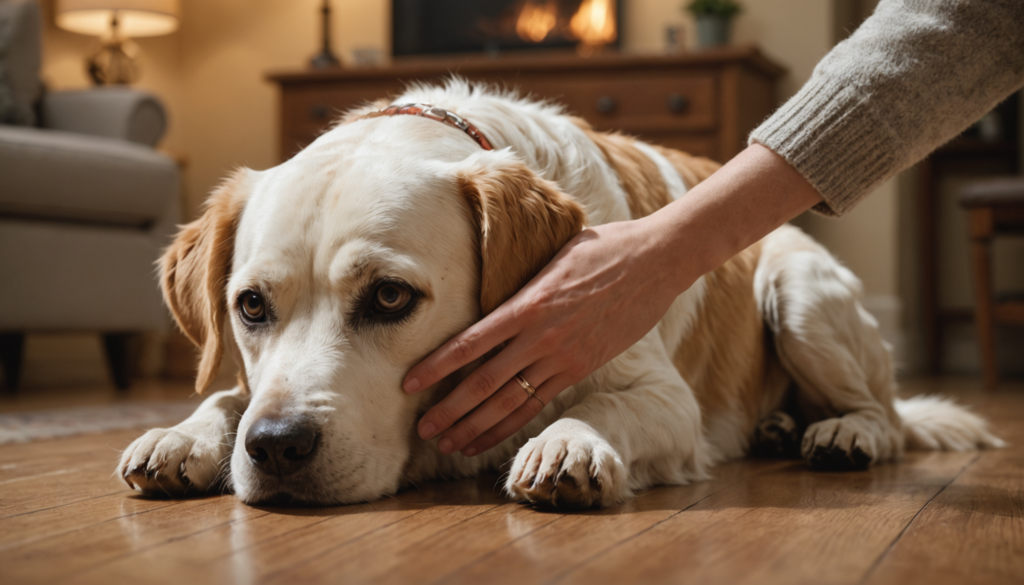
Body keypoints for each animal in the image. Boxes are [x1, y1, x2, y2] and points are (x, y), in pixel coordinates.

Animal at [117, 79, 999, 510]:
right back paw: (781, 425)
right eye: (250, 307)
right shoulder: (255, 377)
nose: (277, 449)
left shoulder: (664, 399)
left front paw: (568, 443)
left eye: (392, 298)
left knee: (886, 416)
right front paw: (186, 434)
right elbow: (229, 395)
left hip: (800, 289)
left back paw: (840, 432)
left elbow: (602, 406)